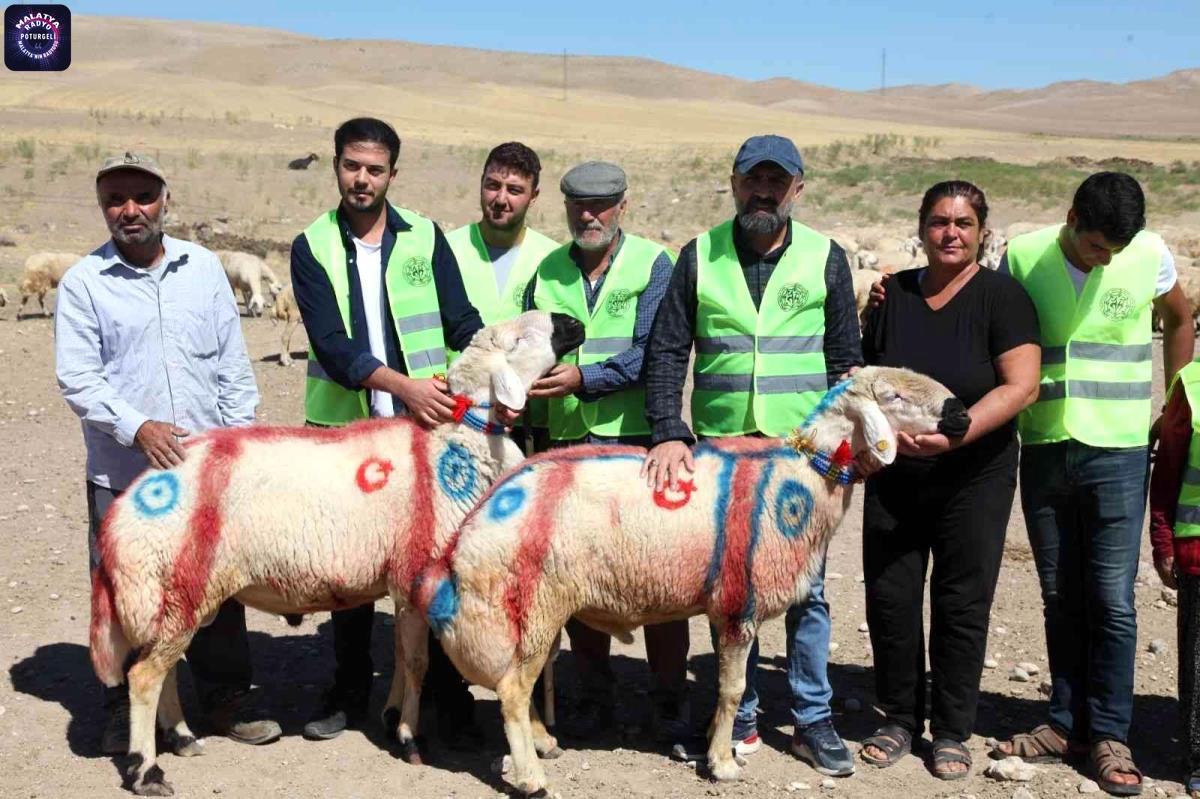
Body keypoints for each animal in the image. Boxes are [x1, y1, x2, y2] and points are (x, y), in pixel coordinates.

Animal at [88, 309, 585, 791]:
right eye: (518, 338)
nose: (573, 323)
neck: (454, 439)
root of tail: (125, 508)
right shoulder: (415, 571)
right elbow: (420, 662)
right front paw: (410, 737)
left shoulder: (403, 582)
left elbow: (403, 658)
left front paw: (392, 718)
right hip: (174, 587)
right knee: (143, 676)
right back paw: (146, 770)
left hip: (175, 596)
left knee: (163, 669)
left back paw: (182, 738)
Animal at [420, 367, 964, 791]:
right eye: (893, 397)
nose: (960, 414)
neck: (801, 475)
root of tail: (474, 526)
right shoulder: (739, 606)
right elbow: (732, 689)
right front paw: (722, 763)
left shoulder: (730, 605)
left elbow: (732, 690)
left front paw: (715, 746)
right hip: (534, 603)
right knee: (512, 689)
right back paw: (532, 776)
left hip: (534, 612)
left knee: (522, 683)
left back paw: (543, 742)